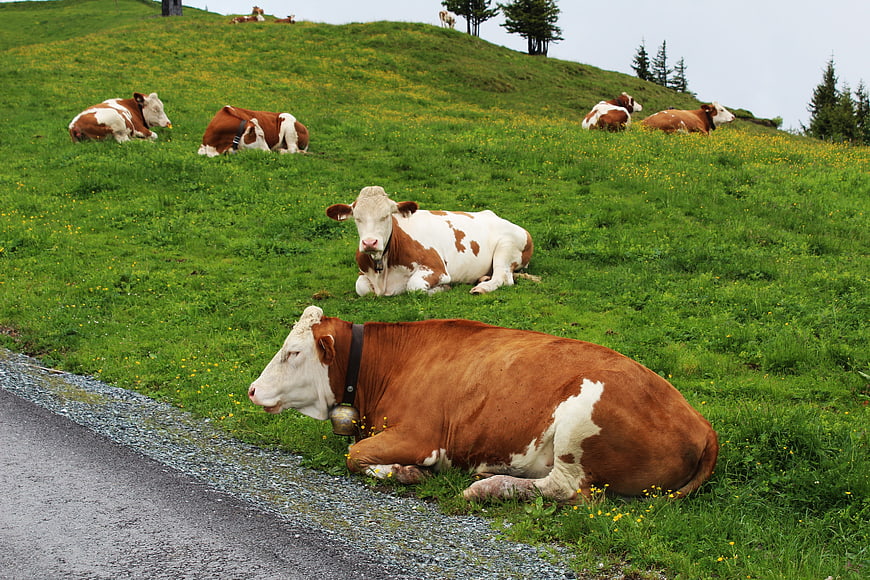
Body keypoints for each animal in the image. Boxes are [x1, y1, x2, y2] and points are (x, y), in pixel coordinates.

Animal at [248, 306, 720, 503]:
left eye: (293, 352)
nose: (252, 389)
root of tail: (701, 423)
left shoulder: (420, 436)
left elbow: (354, 454)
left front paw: (407, 473)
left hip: (578, 423)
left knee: (567, 490)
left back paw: (487, 487)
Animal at [325, 186, 534, 296]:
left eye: (386, 216)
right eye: (357, 218)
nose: (370, 243)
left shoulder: (437, 268)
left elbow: (414, 286)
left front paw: (441, 288)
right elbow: (361, 288)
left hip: (506, 247)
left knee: (503, 278)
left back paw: (481, 287)